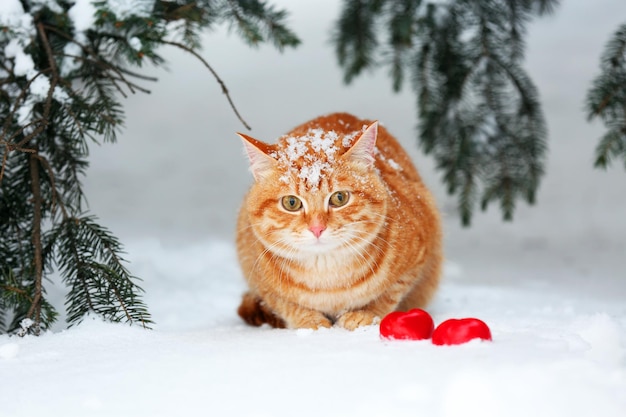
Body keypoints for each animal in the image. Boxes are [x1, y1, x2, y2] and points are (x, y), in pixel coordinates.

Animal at [233, 112, 438, 330]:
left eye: (340, 198)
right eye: (291, 202)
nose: (317, 228)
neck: (328, 278)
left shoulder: (420, 255)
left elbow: (389, 295)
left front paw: (365, 314)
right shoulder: (259, 278)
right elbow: (286, 304)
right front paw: (310, 320)